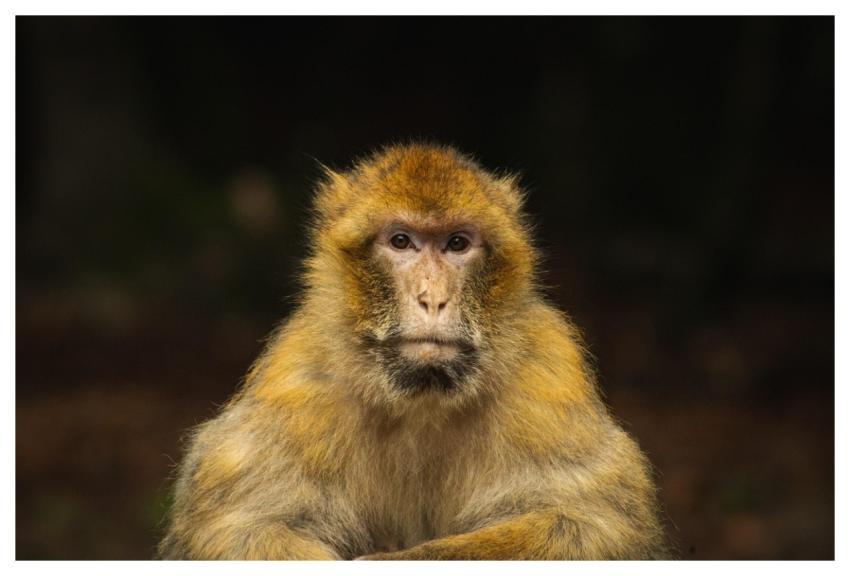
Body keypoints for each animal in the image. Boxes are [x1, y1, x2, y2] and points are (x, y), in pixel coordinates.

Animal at [157, 143, 671, 560]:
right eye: (401, 241)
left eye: (457, 243)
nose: (432, 298)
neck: (422, 399)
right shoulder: (297, 381)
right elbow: (234, 525)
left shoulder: (547, 373)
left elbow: (596, 522)